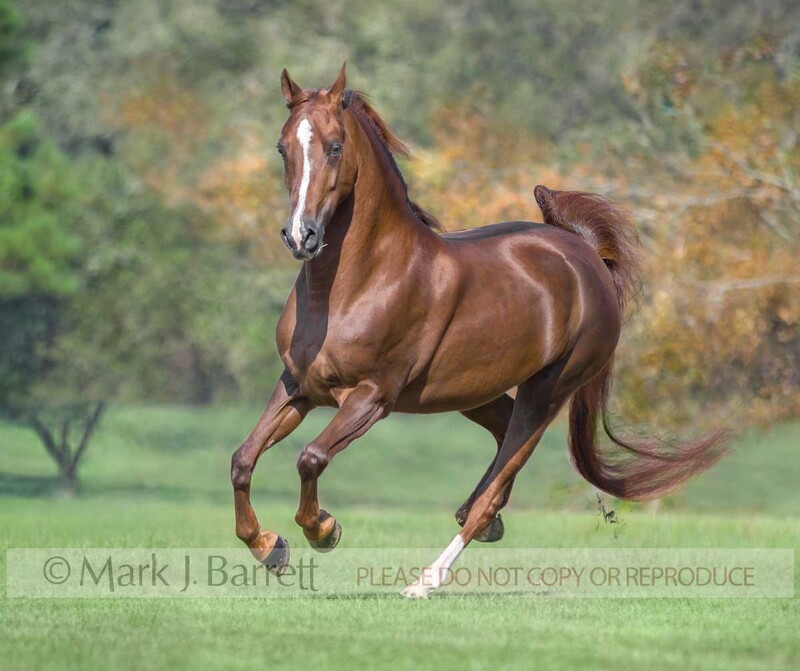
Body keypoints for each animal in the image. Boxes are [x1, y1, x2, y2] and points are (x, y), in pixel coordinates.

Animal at [230, 65, 726, 598]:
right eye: (283, 147)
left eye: (335, 145)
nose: (301, 236)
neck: (356, 284)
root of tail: (587, 257)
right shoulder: (298, 386)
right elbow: (243, 459)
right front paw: (269, 547)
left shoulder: (371, 398)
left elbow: (311, 457)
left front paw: (322, 529)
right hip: (473, 394)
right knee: (498, 455)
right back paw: (477, 522)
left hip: (546, 394)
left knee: (498, 482)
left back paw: (426, 580)